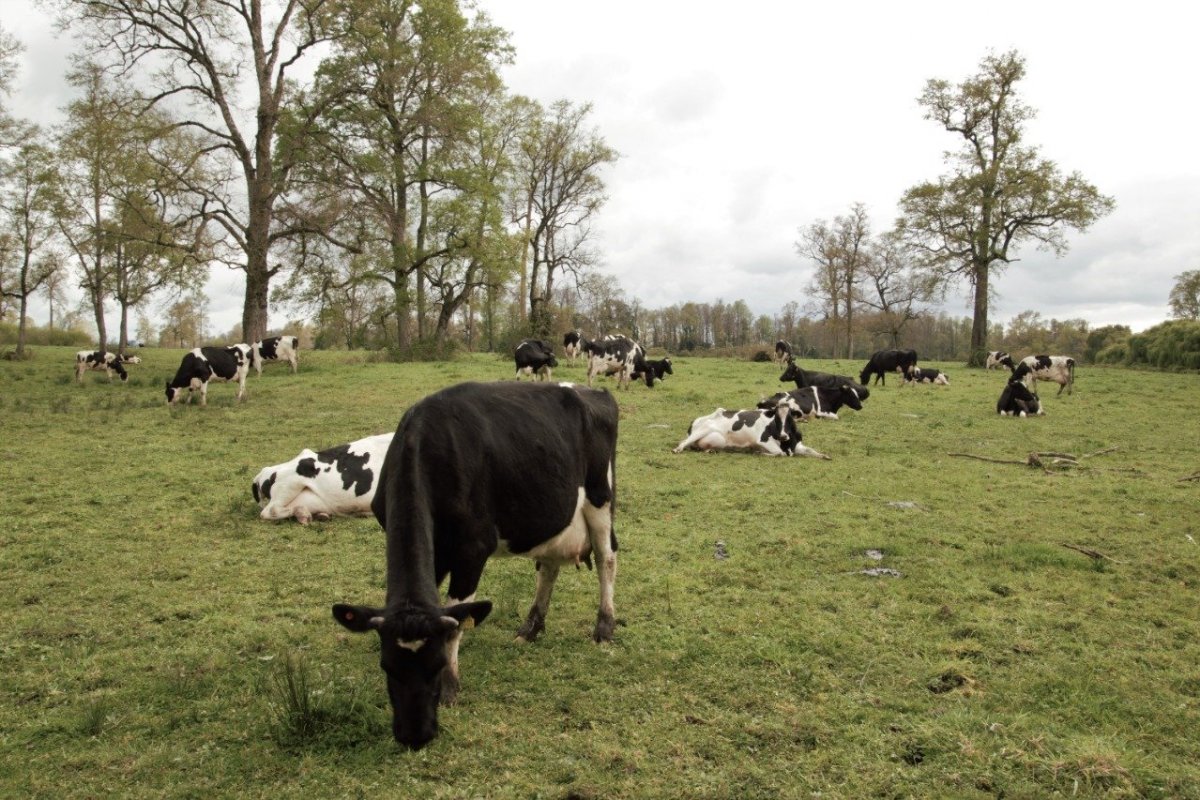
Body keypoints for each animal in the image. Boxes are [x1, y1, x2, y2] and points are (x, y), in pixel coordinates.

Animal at [336, 381, 624, 753]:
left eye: (436, 664)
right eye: (387, 666)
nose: (415, 736)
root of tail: (593, 390)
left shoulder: (472, 550)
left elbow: (456, 621)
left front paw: (450, 687)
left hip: (600, 496)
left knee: (606, 557)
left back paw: (604, 626)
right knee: (549, 567)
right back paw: (530, 628)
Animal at [672, 393, 830, 455]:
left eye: (790, 419)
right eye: (777, 419)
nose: (783, 436)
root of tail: (696, 420)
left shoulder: (796, 445)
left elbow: (812, 450)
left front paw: (825, 456)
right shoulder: (763, 441)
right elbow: (779, 453)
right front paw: (760, 452)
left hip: (718, 440)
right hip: (701, 431)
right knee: (682, 442)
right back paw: (677, 449)